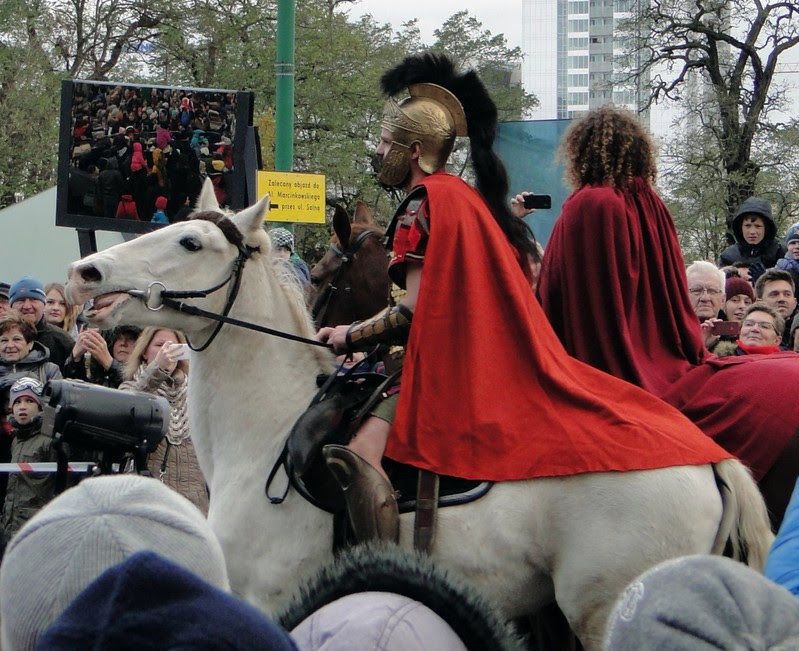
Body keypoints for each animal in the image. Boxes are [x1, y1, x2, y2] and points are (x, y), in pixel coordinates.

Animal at [69, 186, 776, 648]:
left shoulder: (268, 602)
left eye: (190, 241)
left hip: (604, 615)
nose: (86, 272)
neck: (265, 432)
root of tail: (708, 460)